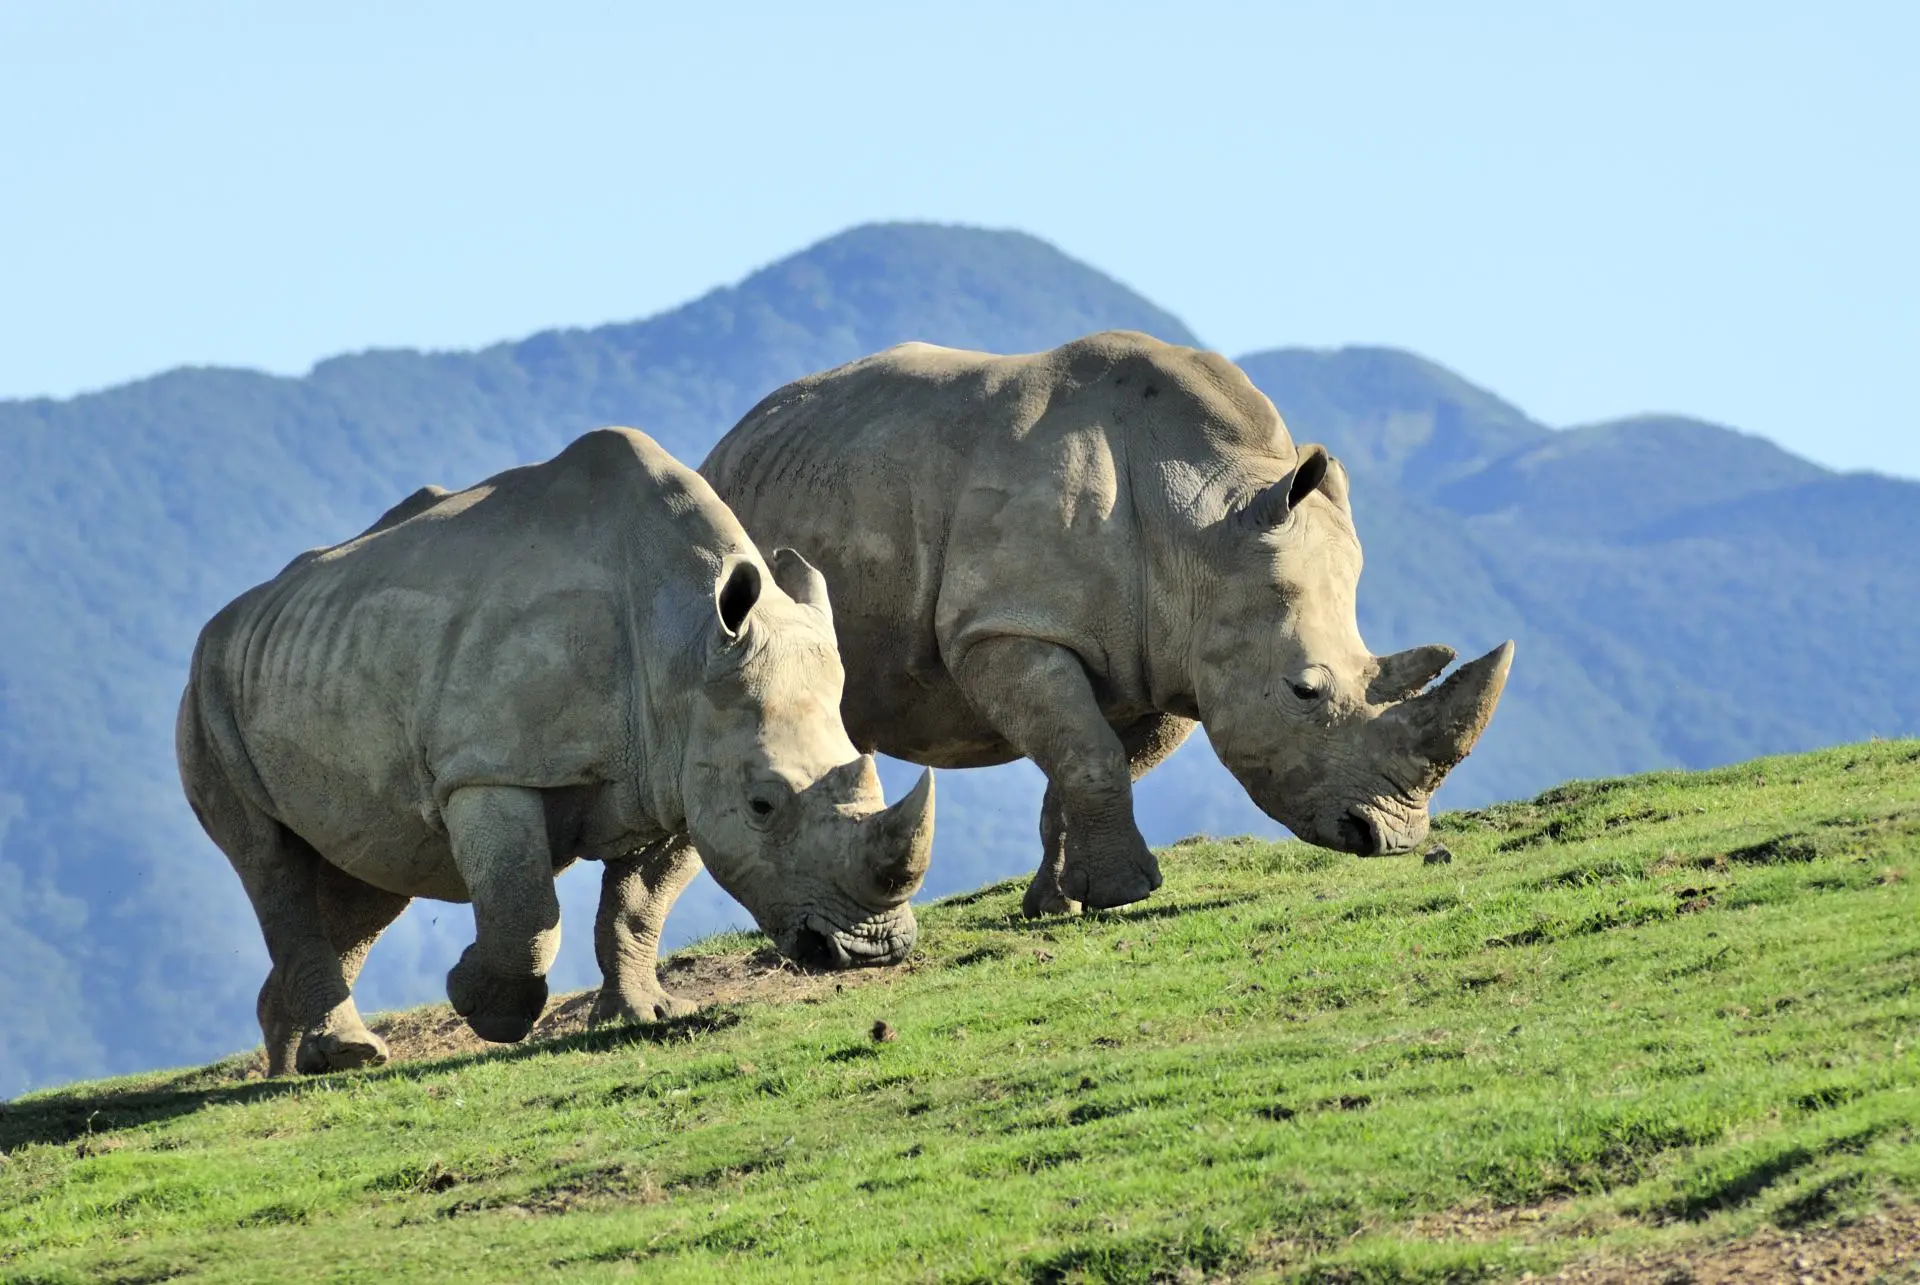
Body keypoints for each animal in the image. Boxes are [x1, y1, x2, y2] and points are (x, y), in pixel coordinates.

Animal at [177, 427, 934, 1076]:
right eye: (763, 805)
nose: (871, 949)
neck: (683, 641)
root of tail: (224, 624)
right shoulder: (490, 767)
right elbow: (526, 914)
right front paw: (484, 1006)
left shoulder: (682, 766)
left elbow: (637, 905)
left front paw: (644, 1015)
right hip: (207, 696)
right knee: (271, 862)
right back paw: (344, 1056)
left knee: (369, 875)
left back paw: (291, 1062)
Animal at [700, 331, 1512, 918]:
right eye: (1304, 691)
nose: (1391, 836)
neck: (1205, 524)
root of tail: (730, 441)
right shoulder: (1006, 626)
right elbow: (1088, 751)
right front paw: (1124, 892)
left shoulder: (1170, 653)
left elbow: (1093, 761)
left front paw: (1057, 902)